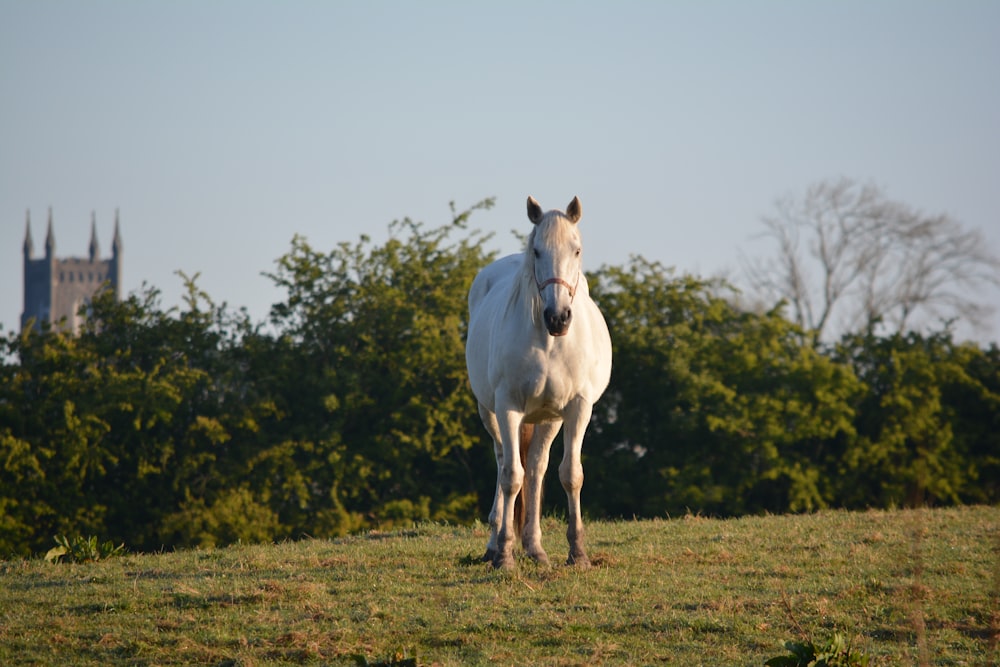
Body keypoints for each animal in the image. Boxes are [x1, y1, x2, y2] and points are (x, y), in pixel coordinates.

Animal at [466, 194, 608, 568]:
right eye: (537, 252)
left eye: (577, 249)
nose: (558, 317)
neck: (549, 341)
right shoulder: (508, 408)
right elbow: (510, 477)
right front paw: (504, 554)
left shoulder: (577, 409)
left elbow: (570, 474)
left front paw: (578, 553)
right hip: (490, 413)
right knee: (505, 463)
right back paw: (495, 543)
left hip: (549, 418)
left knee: (536, 469)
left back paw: (535, 547)